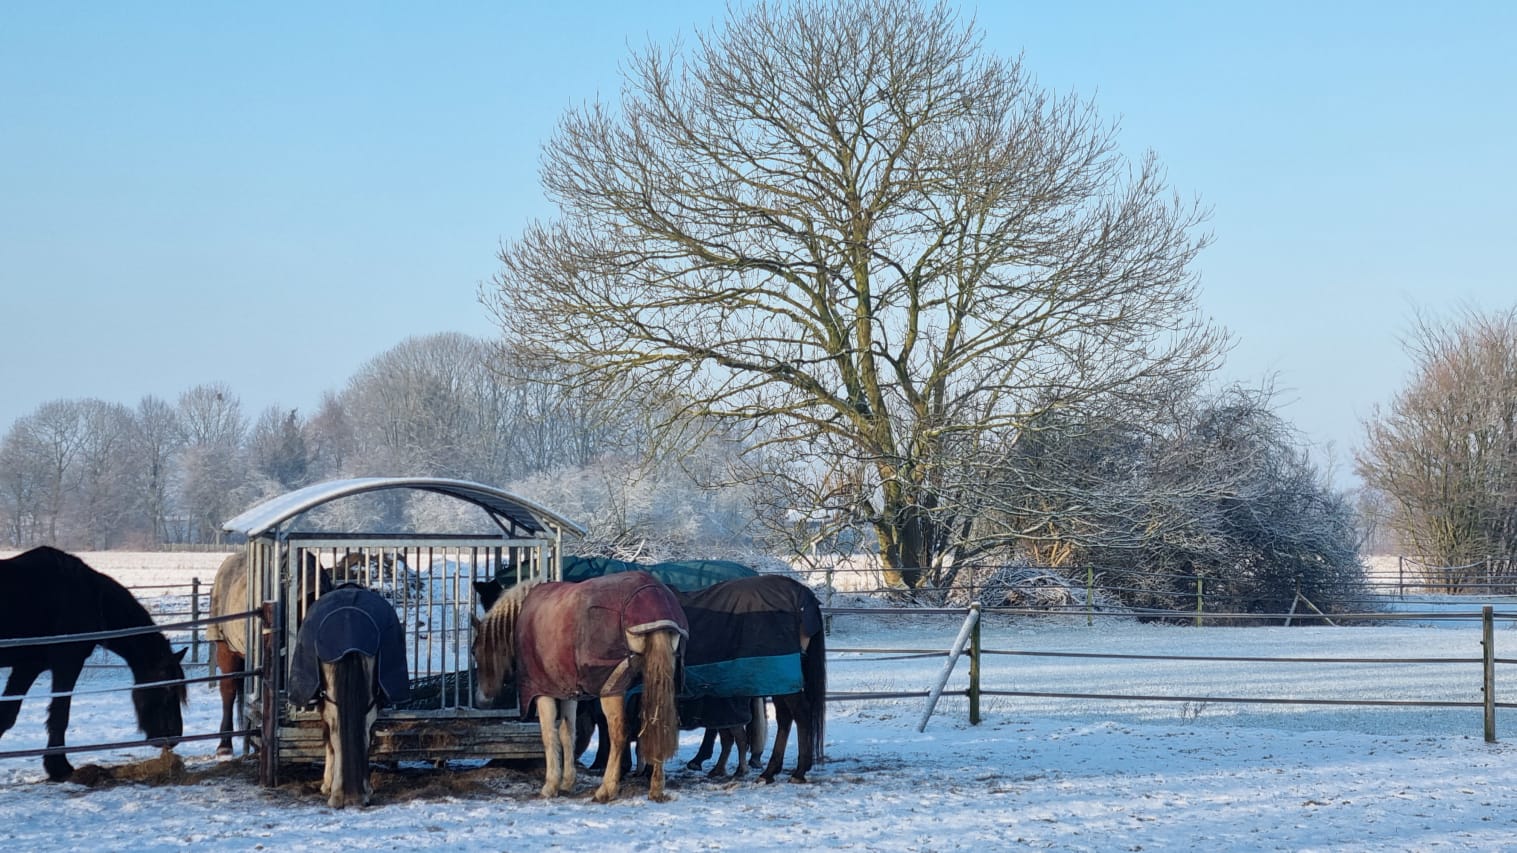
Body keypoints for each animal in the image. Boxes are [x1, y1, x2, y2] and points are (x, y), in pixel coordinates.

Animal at [0, 547, 188, 781]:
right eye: (168, 690)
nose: (174, 736)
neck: (87, 597)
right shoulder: (67, 664)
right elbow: (60, 714)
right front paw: (59, 768)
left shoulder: (28, 666)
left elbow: (7, 714)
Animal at [471, 571, 686, 803]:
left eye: (474, 651)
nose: (481, 700)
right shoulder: (568, 692)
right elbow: (567, 733)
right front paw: (567, 782)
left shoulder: (542, 690)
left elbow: (549, 734)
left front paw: (550, 785)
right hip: (656, 677)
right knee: (658, 723)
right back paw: (656, 788)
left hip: (612, 686)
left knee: (618, 732)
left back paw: (607, 789)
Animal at [676, 574, 826, 783]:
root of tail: (801, 594)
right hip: (776, 681)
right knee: (785, 717)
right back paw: (770, 771)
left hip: (781, 677)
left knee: (801, 713)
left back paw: (798, 771)